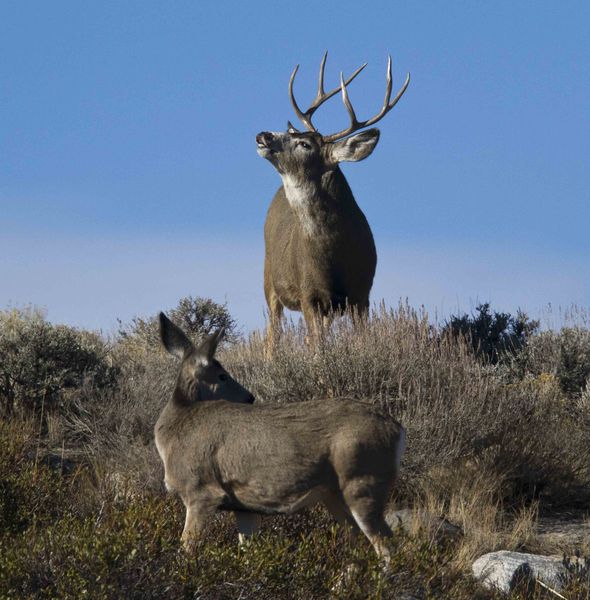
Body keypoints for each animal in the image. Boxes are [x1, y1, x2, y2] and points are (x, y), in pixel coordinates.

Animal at [157, 314, 408, 568]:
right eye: (222, 375)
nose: (250, 397)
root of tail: (398, 429)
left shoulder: (200, 490)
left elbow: (186, 548)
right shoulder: (244, 506)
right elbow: (247, 552)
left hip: (363, 481)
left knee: (387, 547)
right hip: (336, 495)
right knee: (357, 545)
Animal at [260, 52, 412, 342]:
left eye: (305, 143)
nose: (263, 135)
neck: (333, 255)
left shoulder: (362, 292)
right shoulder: (309, 294)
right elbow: (317, 347)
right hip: (269, 279)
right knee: (272, 336)